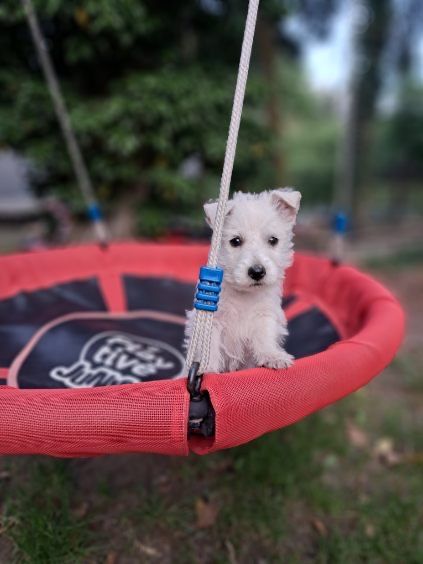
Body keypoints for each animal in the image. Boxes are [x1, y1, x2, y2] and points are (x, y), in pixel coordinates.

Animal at [186, 188, 302, 374]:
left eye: (273, 240)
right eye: (235, 241)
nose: (257, 272)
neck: (244, 295)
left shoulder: (264, 314)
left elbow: (264, 336)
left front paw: (273, 357)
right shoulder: (213, 320)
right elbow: (210, 347)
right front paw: (208, 368)